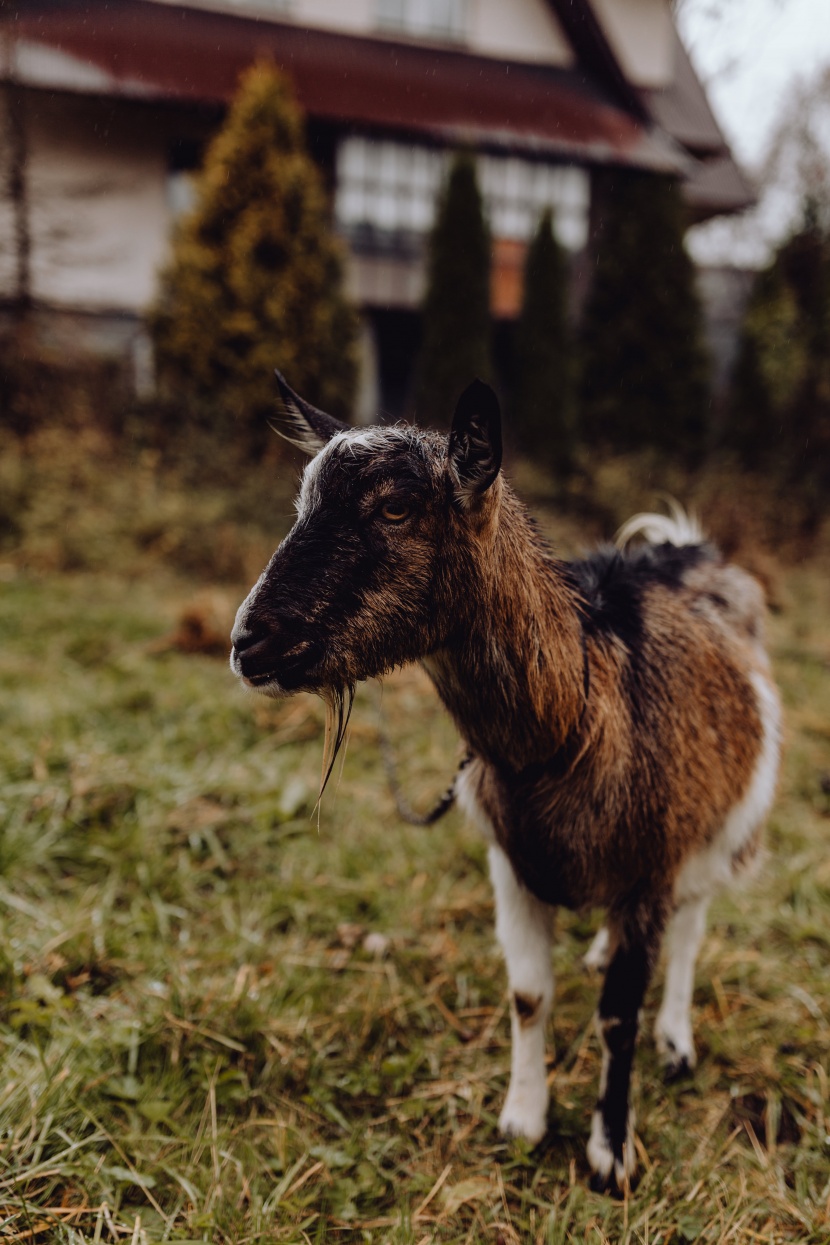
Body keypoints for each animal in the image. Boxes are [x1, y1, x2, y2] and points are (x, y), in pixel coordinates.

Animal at [230, 373, 781, 1190]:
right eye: (302, 500)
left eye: (396, 506)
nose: (248, 640)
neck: (575, 719)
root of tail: (692, 548)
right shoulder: (511, 865)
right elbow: (528, 995)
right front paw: (523, 1119)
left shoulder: (651, 867)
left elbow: (618, 1015)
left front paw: (610, 1154)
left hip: (724, 822)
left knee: (691, 924)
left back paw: (676, 1038)